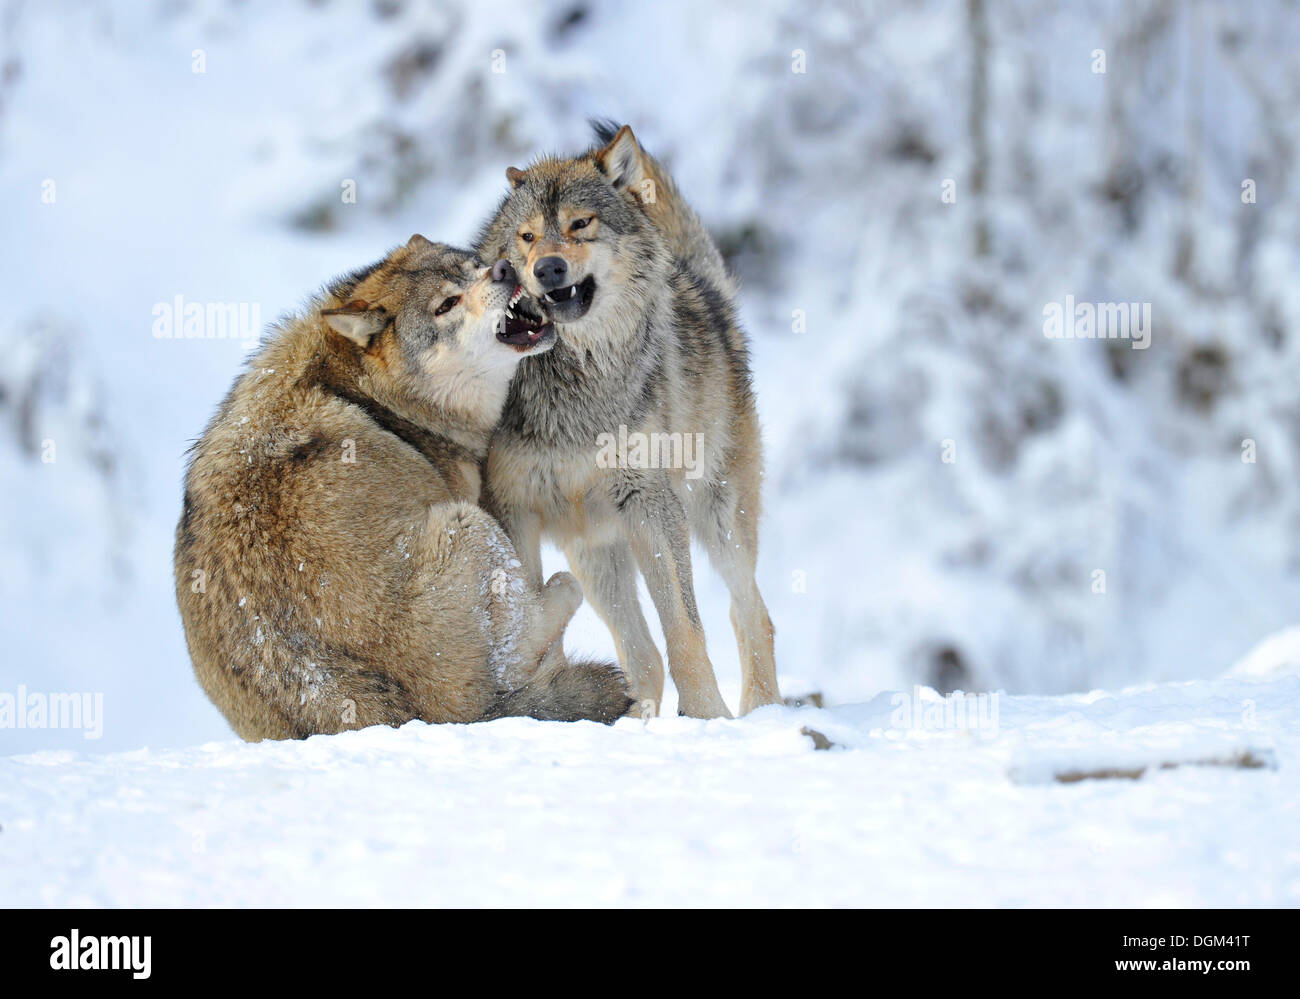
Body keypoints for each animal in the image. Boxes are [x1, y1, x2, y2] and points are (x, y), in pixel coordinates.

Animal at [175, 236, 631, 738]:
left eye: (473, 266)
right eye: (446, 305)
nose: (504, 269)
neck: (372, 390)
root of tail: (405, 716)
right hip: (468, 525)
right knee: (521, 652)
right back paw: (560, 593)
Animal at [478, 122, 780, 718]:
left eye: (580, 224)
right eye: (526, 237)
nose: (548, 268)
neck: (575, 380)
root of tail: (703, 286)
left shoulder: (651, 502)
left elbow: (685, 632)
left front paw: (708, 716)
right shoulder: (513, 512)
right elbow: (535, 624)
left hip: (717, 517)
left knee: (750, 613)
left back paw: (761, 711)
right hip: (596, 560)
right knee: (642, 657)